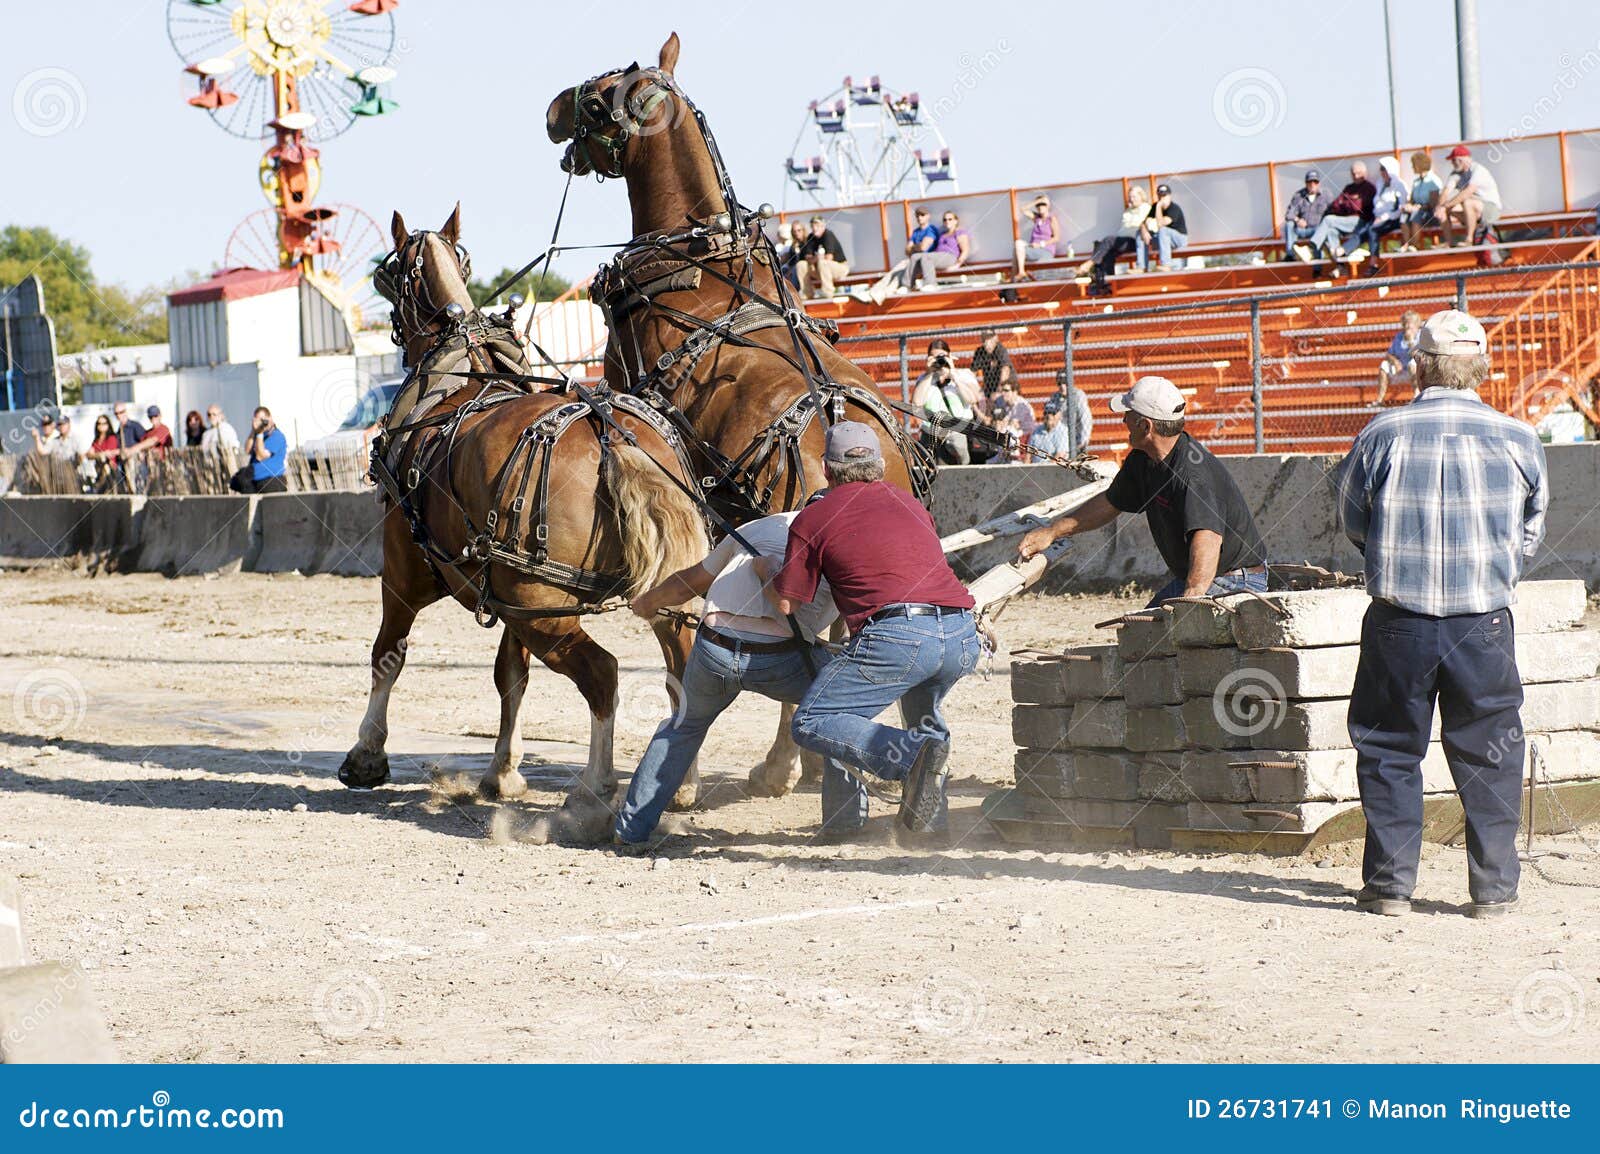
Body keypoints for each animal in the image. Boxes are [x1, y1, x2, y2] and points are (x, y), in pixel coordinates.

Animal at [339, 205, 708, 844]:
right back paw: (677, 781)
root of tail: (612, 433)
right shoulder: (505, 595)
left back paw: (592, 792)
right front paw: (502, 772)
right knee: (681, 669)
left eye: (390, 270)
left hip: (542, 608)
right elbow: (509, 675)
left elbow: (389, 654)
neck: (456, 381)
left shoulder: (404, 573)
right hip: (605, 595)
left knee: (603, 675)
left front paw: (367, 753)